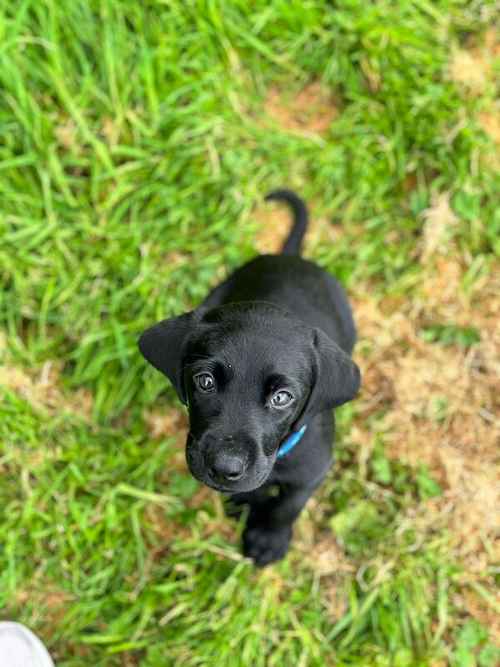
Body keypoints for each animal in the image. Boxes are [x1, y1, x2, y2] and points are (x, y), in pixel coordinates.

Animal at [140, 190, 360, 568]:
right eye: (204, 382)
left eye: (282, 397)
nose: (225, 467)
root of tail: (289, 258)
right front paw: (246, 504)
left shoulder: (314, 467)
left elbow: (289, 504)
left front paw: (268, 539)